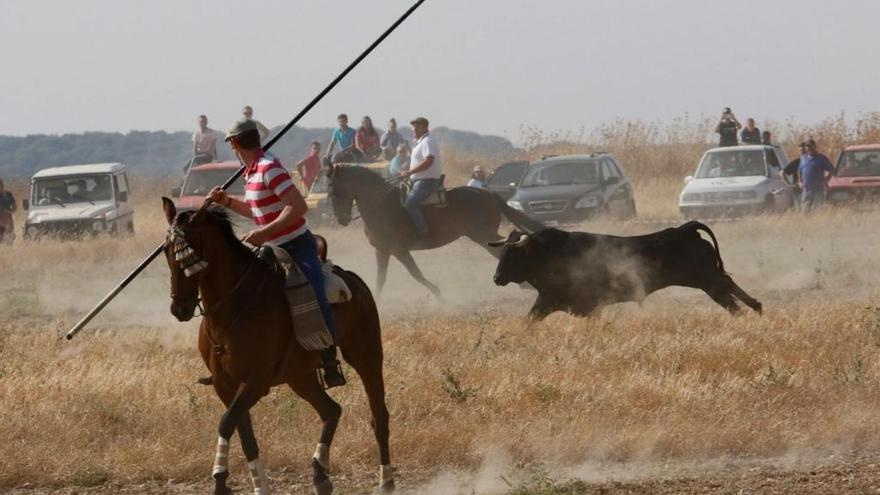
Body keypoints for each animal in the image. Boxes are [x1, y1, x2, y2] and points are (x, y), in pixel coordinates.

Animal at [160, 199, 394, 495]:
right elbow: (243, 432)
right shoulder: (225, 385)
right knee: (331, 410)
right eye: (167, 250)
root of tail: (355, 281)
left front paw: (221, 481)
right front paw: (257, 485)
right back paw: (320, 474)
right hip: (300, 376)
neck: (232, 306)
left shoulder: (255, 381)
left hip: (366, 356)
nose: (179, 308)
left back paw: (385, 480)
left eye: (191, 250)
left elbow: (226, 423)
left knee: (379, 416)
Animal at [326, 165, 540, 298]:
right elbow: (381, 279)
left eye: (335, 190)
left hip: (483, 236)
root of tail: (490, 195)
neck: (380, 205)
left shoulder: (399, 250)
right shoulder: (382, 250)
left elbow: (416, 274)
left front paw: (439, 295)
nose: (341, 219)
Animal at [488, 222, 764, 322]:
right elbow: (528, 321)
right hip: (707, 277)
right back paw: (757, 308)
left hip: (705, 279)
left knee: (728, 298)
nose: (496, 278)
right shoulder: (546, 301)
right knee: (729, 285)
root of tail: (685, 229)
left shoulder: (588, 307)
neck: (549, 253)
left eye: (512, 255)